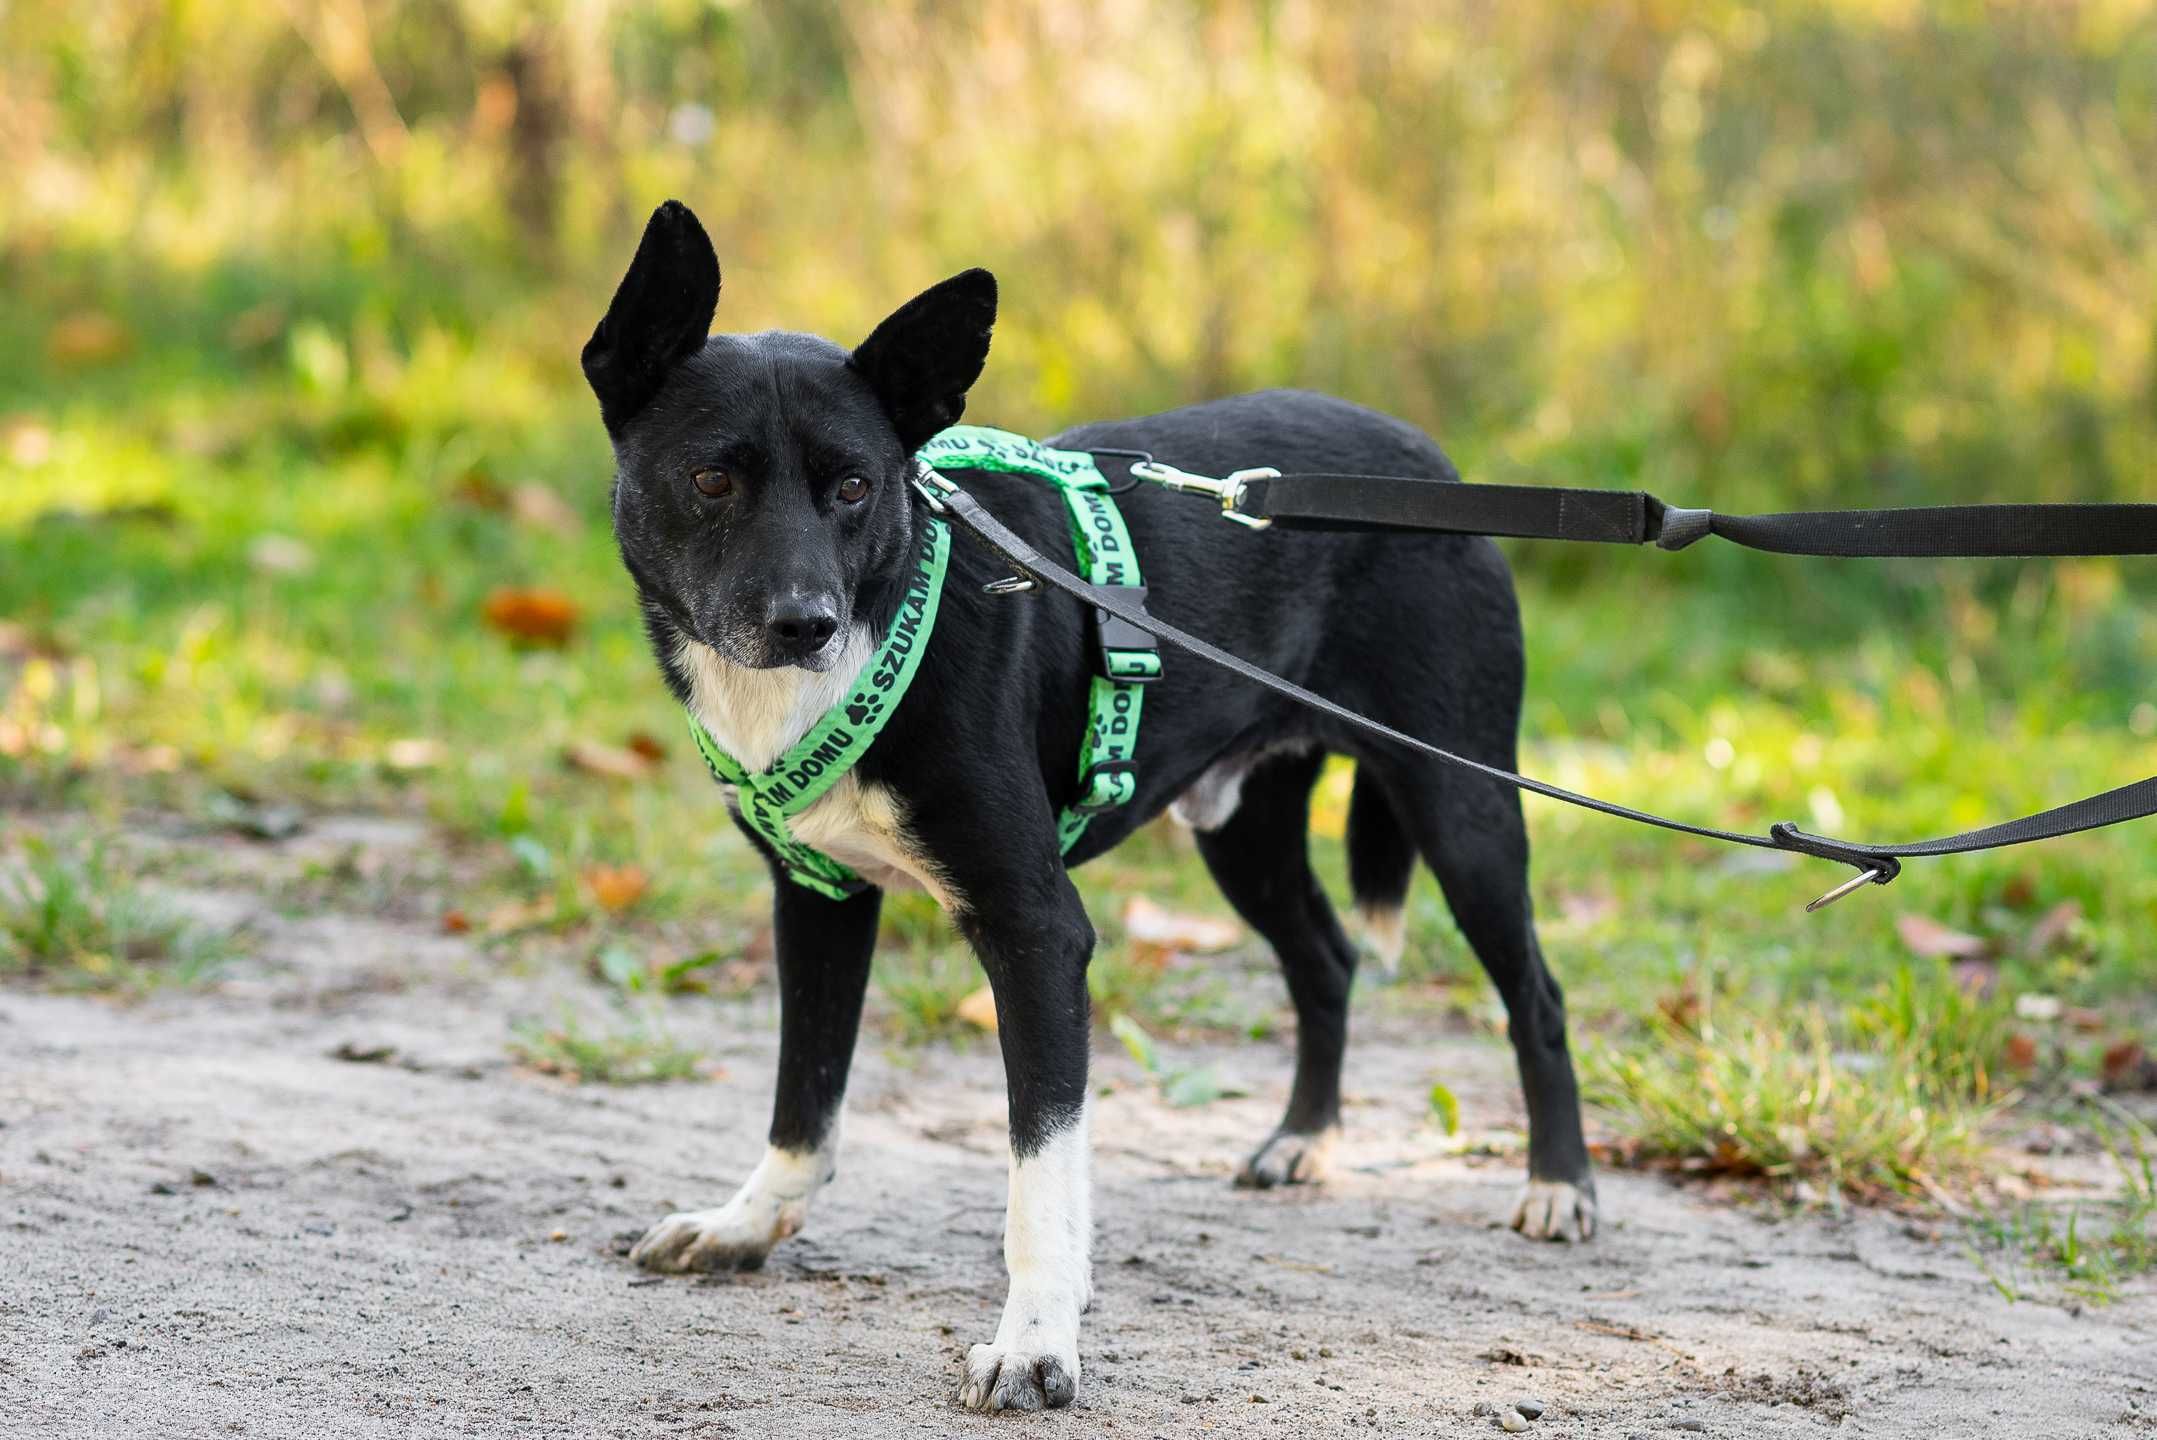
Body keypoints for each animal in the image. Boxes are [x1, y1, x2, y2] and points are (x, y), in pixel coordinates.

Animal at [582, 197, 1596, 1414]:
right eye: (711, 481)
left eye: (857, 486)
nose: (803, 622)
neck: (878, 632)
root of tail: (1426, 461)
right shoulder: (817, 899)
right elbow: (805, 1099)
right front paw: (748, 1224)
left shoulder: (1036, 932)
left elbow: (1040, 1177)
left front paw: (1034, 1344)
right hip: (1244, 830)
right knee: (1326, 959)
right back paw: (1304, 1139)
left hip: (1460, 800)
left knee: (1534, 993)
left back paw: (1560, 1185)